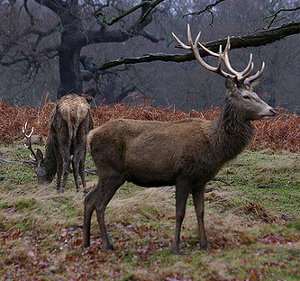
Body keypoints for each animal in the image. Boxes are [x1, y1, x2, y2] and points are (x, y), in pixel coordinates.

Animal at [82, 25, 276, 252]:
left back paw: (86, 242)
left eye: (256, 93)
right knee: (99, 204)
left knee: (88, 199)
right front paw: (176, 247)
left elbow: (201, 211)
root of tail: (90, 135)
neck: (214, 146)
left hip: (107, 173)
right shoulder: (182, 174)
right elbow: (180, 212)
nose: (271, 110)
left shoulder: (201, 179)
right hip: (111, 171)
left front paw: (204, 244)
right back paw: (107, 244)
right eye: (246, 96)